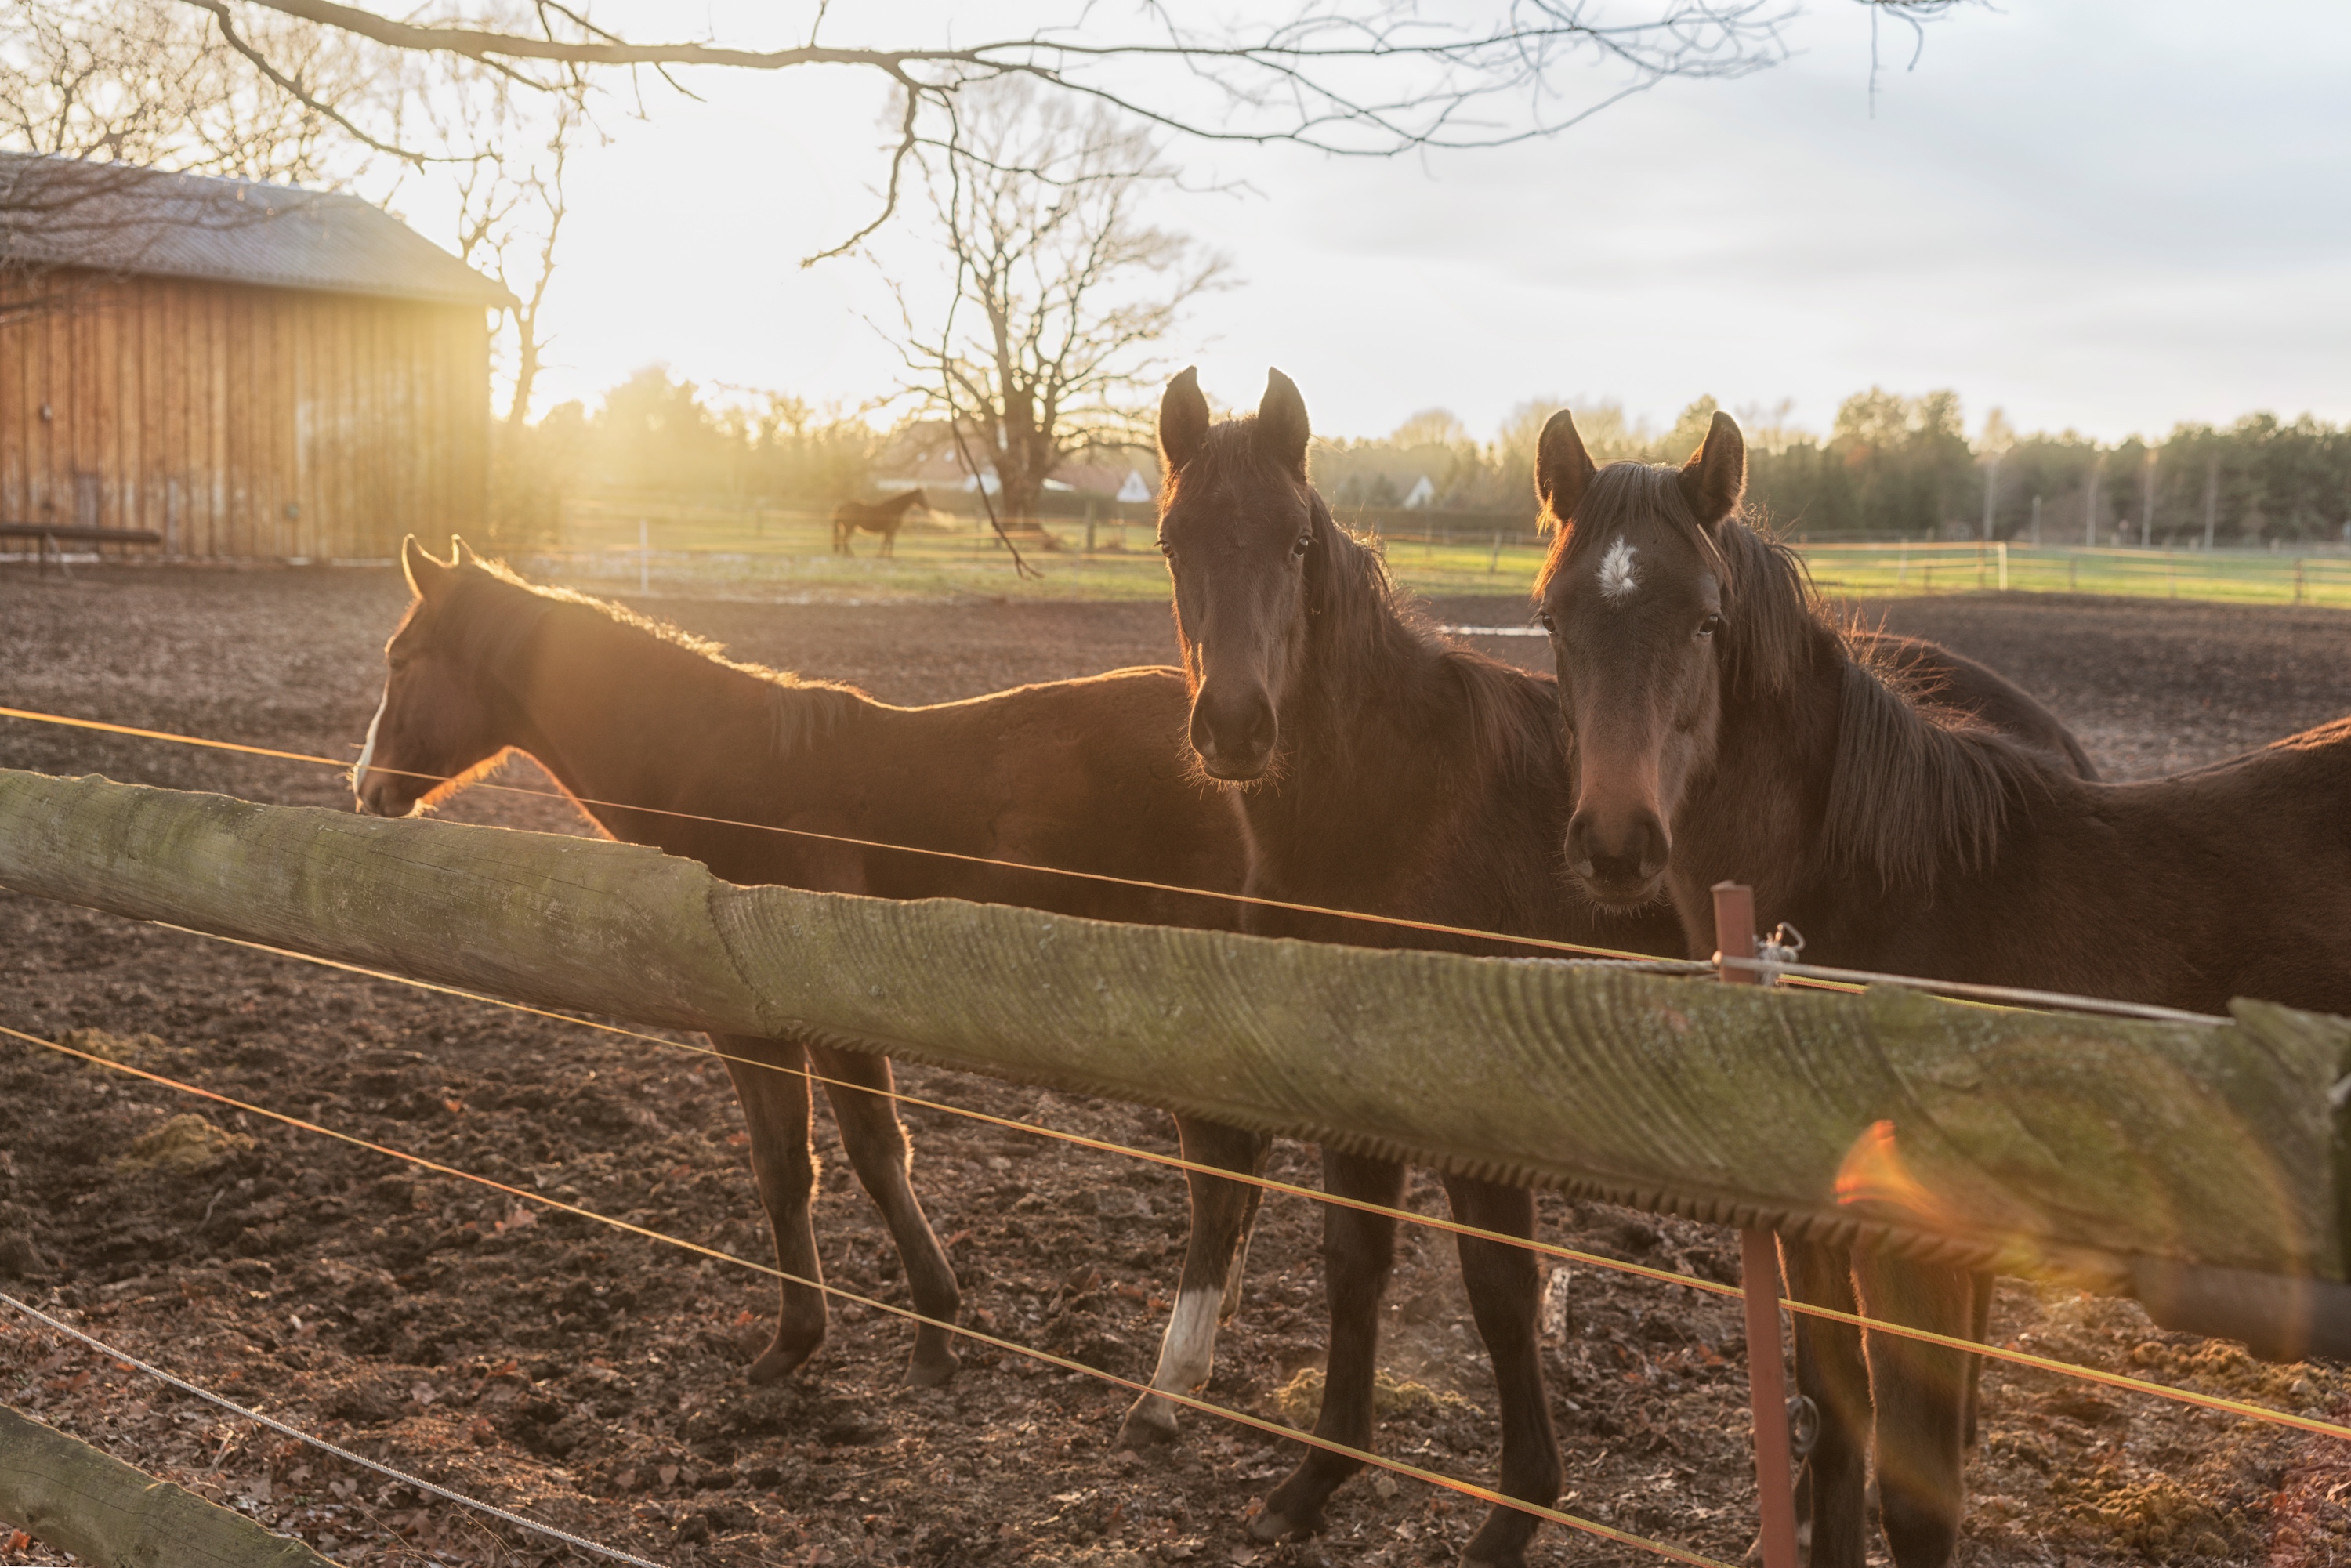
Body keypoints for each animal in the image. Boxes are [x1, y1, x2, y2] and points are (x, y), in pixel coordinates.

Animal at [354, 538, 1280, 1422]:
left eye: (400, 659)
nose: (367, 787)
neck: (724, 770)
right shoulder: (770, 1025)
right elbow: (793, 1166)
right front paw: (819, 1340)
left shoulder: (800, 1023)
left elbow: (857, 1158)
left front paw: (905, 1335)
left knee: (1217, 1170)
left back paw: (1165, 1392)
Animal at [1154, 369, 2092, 1568]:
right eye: (1175, 540)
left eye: (1294, 543)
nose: (1234, 725)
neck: (1393, 803)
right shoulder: (1345, 1069)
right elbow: (1353, 1259)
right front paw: (1316, 1478)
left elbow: (1501, 1291)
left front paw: (1515, 1512)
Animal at [1530, 405, 2351, 1566]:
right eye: (1553, 618)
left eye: (1704, 621)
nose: (1615, 844)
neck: (1867, 900)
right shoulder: (1812, 1223)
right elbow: (1835, 1433)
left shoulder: (1919, 1248)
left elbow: (1918, 1493)